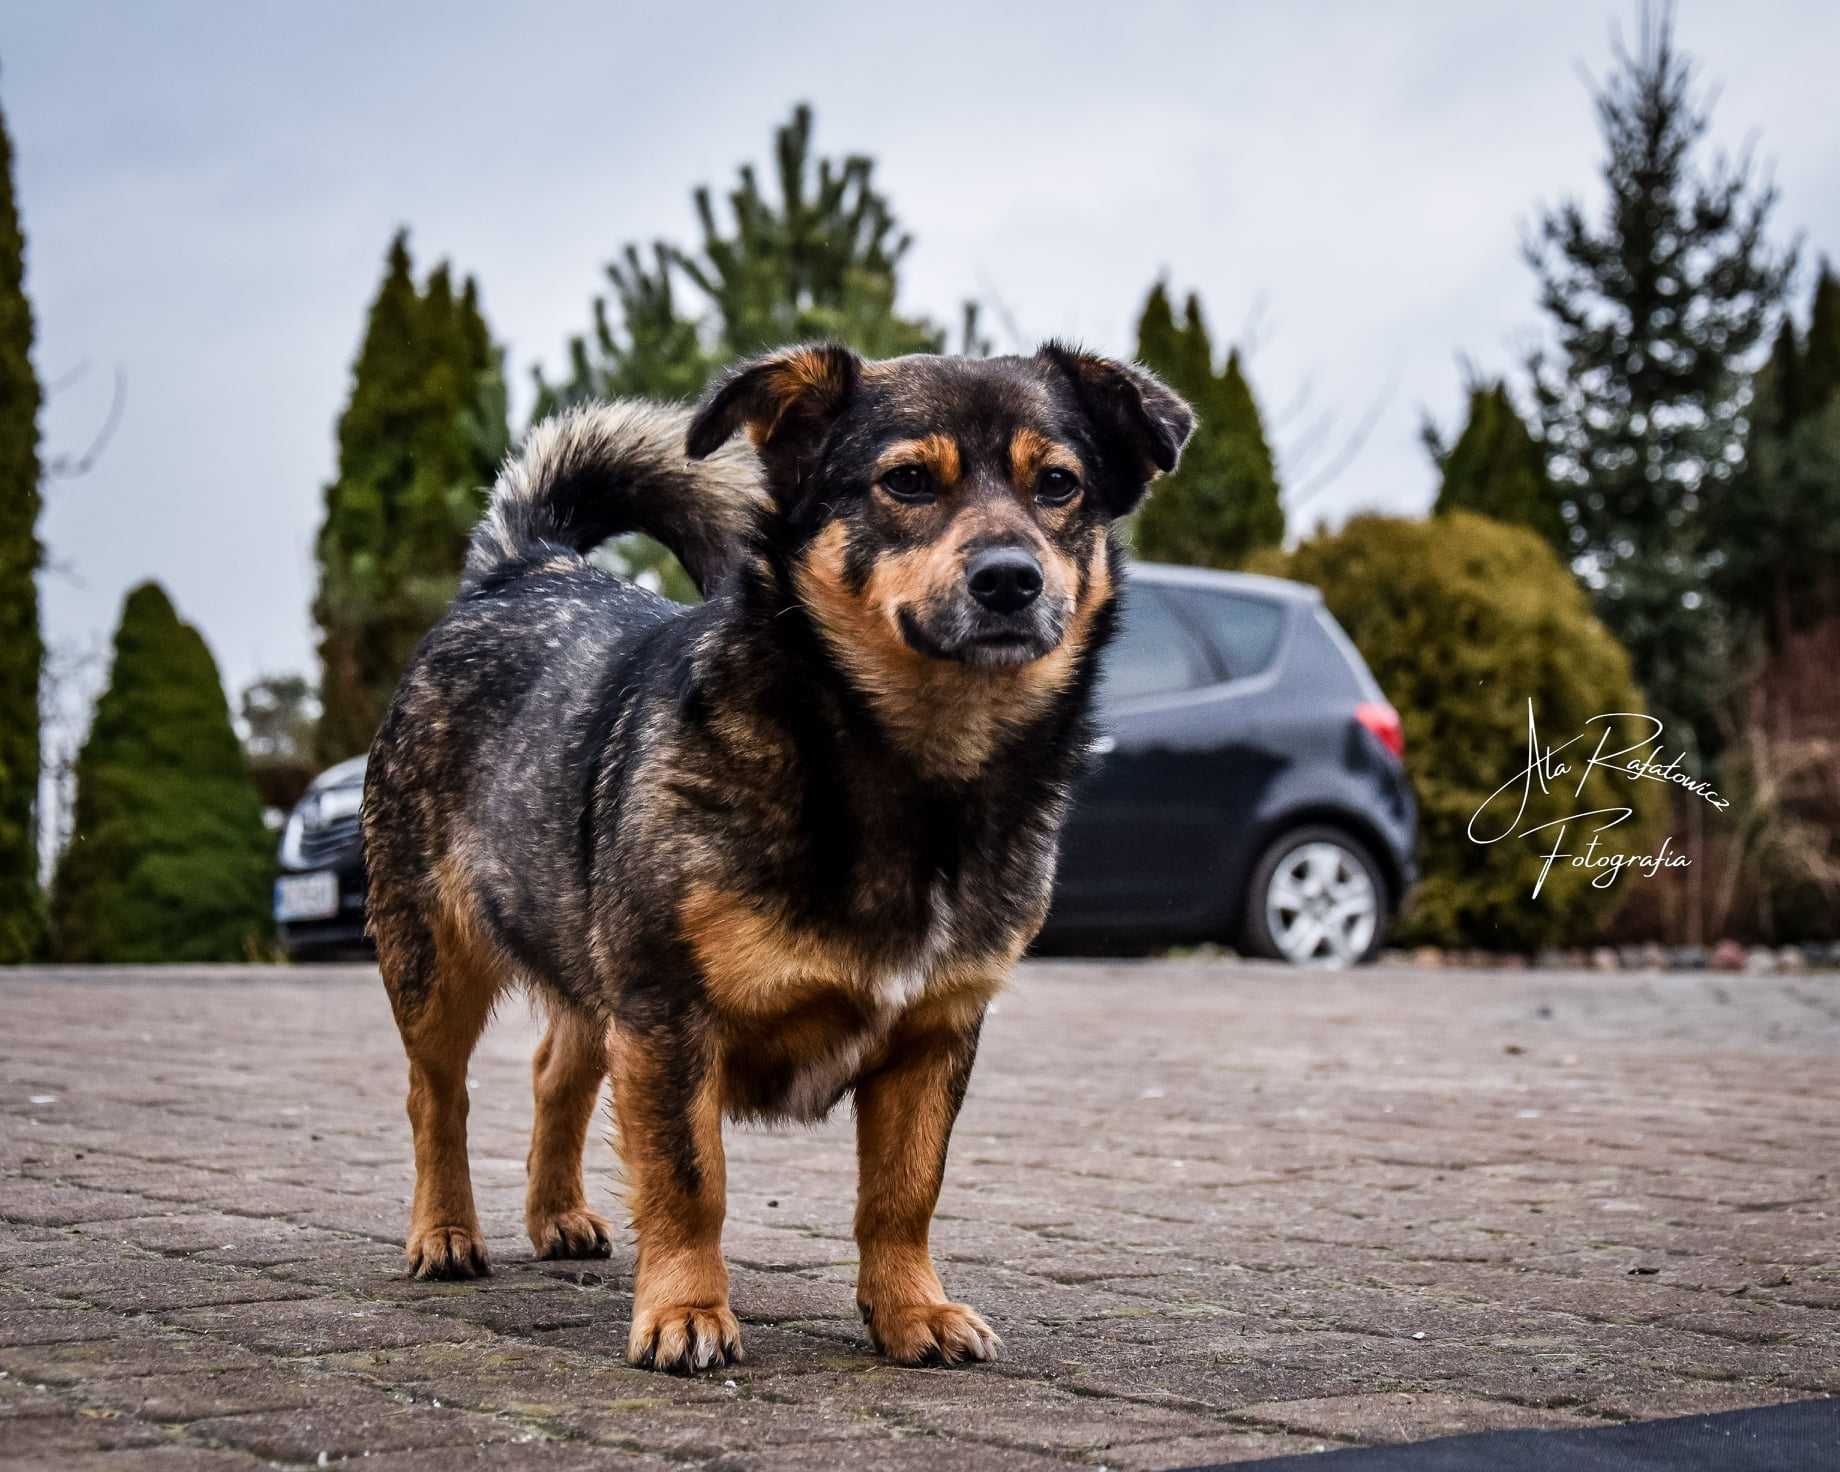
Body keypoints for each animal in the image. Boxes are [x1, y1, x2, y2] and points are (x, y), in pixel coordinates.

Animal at [362, 338, 1192, 1376]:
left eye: (1059, 485)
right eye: (906, 481)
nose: (1011, 578)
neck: (912, 773)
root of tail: (524, 568)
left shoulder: (933, 1034)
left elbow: (903, 1192)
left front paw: (910, 1309)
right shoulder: (668, 1017)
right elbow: (689, 1181)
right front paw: (684, 1310)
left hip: (590, 956)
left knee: (558, 1070)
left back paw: (557, 1215)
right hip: (436, 960)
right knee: (436, 1096)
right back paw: (444, 1232)